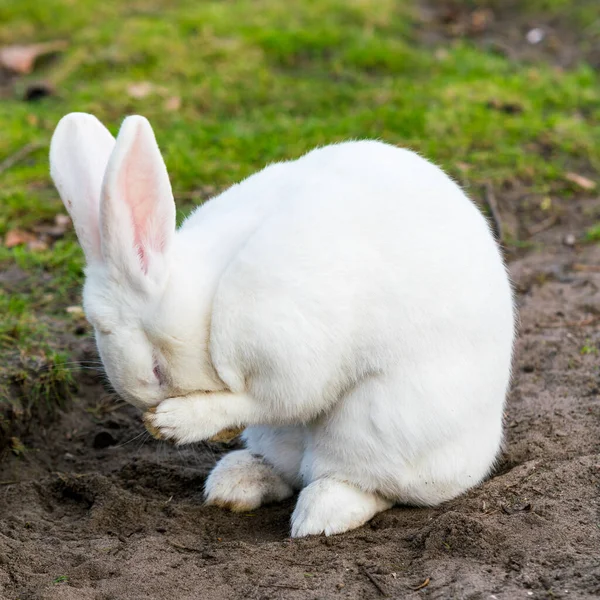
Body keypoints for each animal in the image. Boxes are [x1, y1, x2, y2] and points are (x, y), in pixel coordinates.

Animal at [50, 113, 516, 540]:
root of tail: (481, 453)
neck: (210, 303)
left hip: (375, 425)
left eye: (156, 370)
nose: (152, 414)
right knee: (289, 469)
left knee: (366, 484)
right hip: (285, 438)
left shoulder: (288, 354)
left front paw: (177, 421)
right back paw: (236, 482)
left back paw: (320, 516)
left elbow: (267, 399)